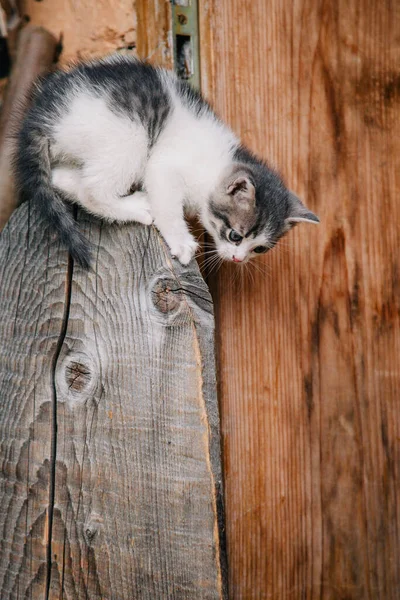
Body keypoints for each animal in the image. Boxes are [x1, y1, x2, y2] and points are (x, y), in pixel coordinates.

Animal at [14, 55, 318, 268]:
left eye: (259, 249)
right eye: (235, 236)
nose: (238, 259)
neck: (216, 167)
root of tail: (41, 114)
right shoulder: (165, 166)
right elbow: (168, 206)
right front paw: (181, 242)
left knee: (58, 176)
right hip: (129, 133)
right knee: (93, 190)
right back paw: (136, 206)